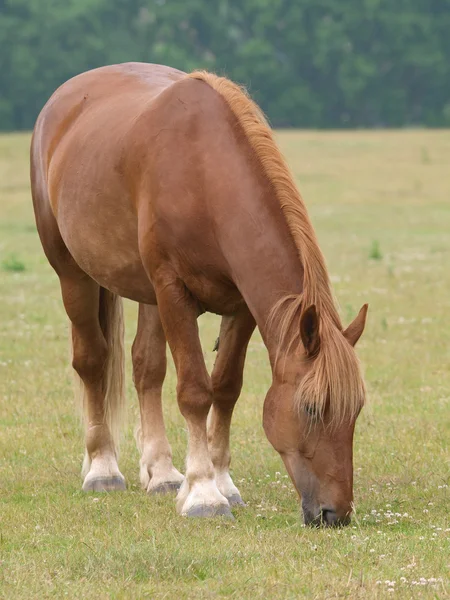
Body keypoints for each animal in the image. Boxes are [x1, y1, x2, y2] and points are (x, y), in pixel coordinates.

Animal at [32, 62, 370, 524]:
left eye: (356, 411)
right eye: (311, 409)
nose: (335, 514)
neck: (205, 175)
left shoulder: (241, 306)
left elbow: (225, 388)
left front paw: (221, 481)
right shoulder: (173, 291)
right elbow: (194, 391)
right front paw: (204, 494)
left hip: (146, 294)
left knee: (146, 368)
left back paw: (161, 472)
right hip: (74, 274)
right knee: (93, 360)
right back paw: (102, 468)